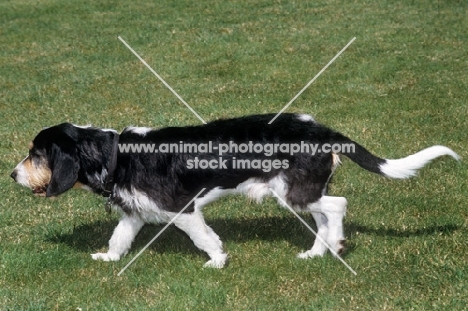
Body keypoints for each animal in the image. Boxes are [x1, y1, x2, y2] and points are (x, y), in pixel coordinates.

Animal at [10, 113, 458, 270]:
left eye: (36, 154)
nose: (13, 175)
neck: (116, 156)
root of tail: (322, 129)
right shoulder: (134, 214)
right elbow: (118, 239)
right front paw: (108, 260)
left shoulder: (183, 210)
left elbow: (205, 238)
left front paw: (217, 262)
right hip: (301, 192)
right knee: (323, 216)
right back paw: (319, 252)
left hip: (294, 192)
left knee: (337, 205)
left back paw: (335, 246)